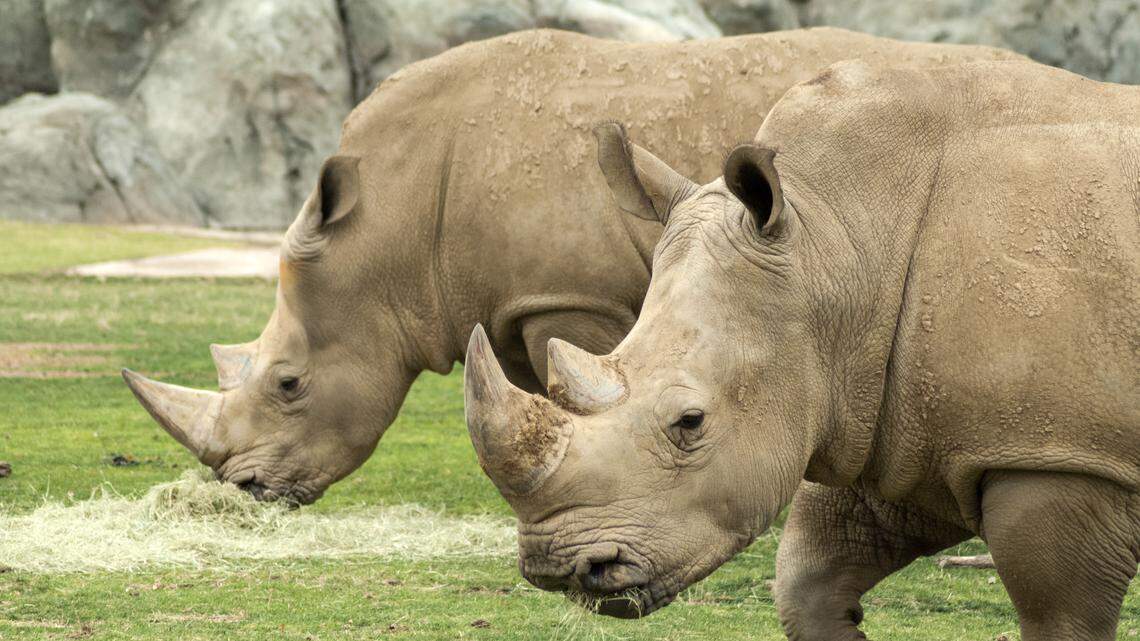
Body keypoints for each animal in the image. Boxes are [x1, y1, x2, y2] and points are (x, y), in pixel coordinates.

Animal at [122, 28, 1020, 504]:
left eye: (288, 383)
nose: (242, 489)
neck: (390, 236)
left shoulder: (574, 298)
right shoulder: (512, 302)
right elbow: (539, 393)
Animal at [464, 60, 1140, 640]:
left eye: (690, 422)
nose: (560, 569)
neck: (836, 242)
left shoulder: (1056, 452)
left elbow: (1059, 619)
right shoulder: (885, 415)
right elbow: (806, 582)